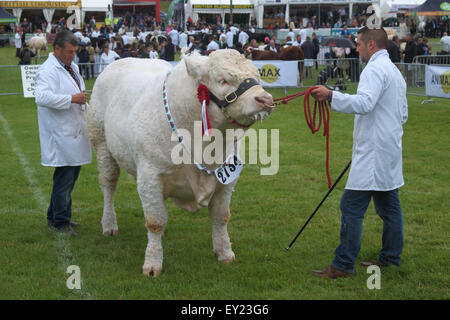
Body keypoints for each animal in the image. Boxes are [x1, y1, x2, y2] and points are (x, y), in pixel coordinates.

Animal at [88, 49, 274, 276]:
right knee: (108, 185)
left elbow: (221, 216)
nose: (265, 99)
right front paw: (152, 264)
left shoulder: (226, 180)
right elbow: (155, 222)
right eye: (223, 80)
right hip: (102, 144)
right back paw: (109, 224)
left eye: (257, 76)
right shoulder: (149, 177)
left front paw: (224, 252)